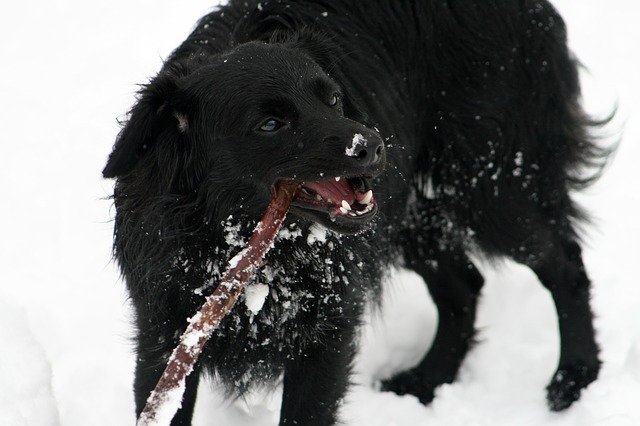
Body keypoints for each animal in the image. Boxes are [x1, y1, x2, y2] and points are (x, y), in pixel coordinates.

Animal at [102, 1, 608, 424]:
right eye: (270, 124)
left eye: (332, 98)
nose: (373, 146)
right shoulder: (165, 337)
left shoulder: (328, 332)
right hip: (413, 218)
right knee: (465, 285)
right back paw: (428, 380)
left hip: (492, 188)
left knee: (564, 265)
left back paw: (574, 377)